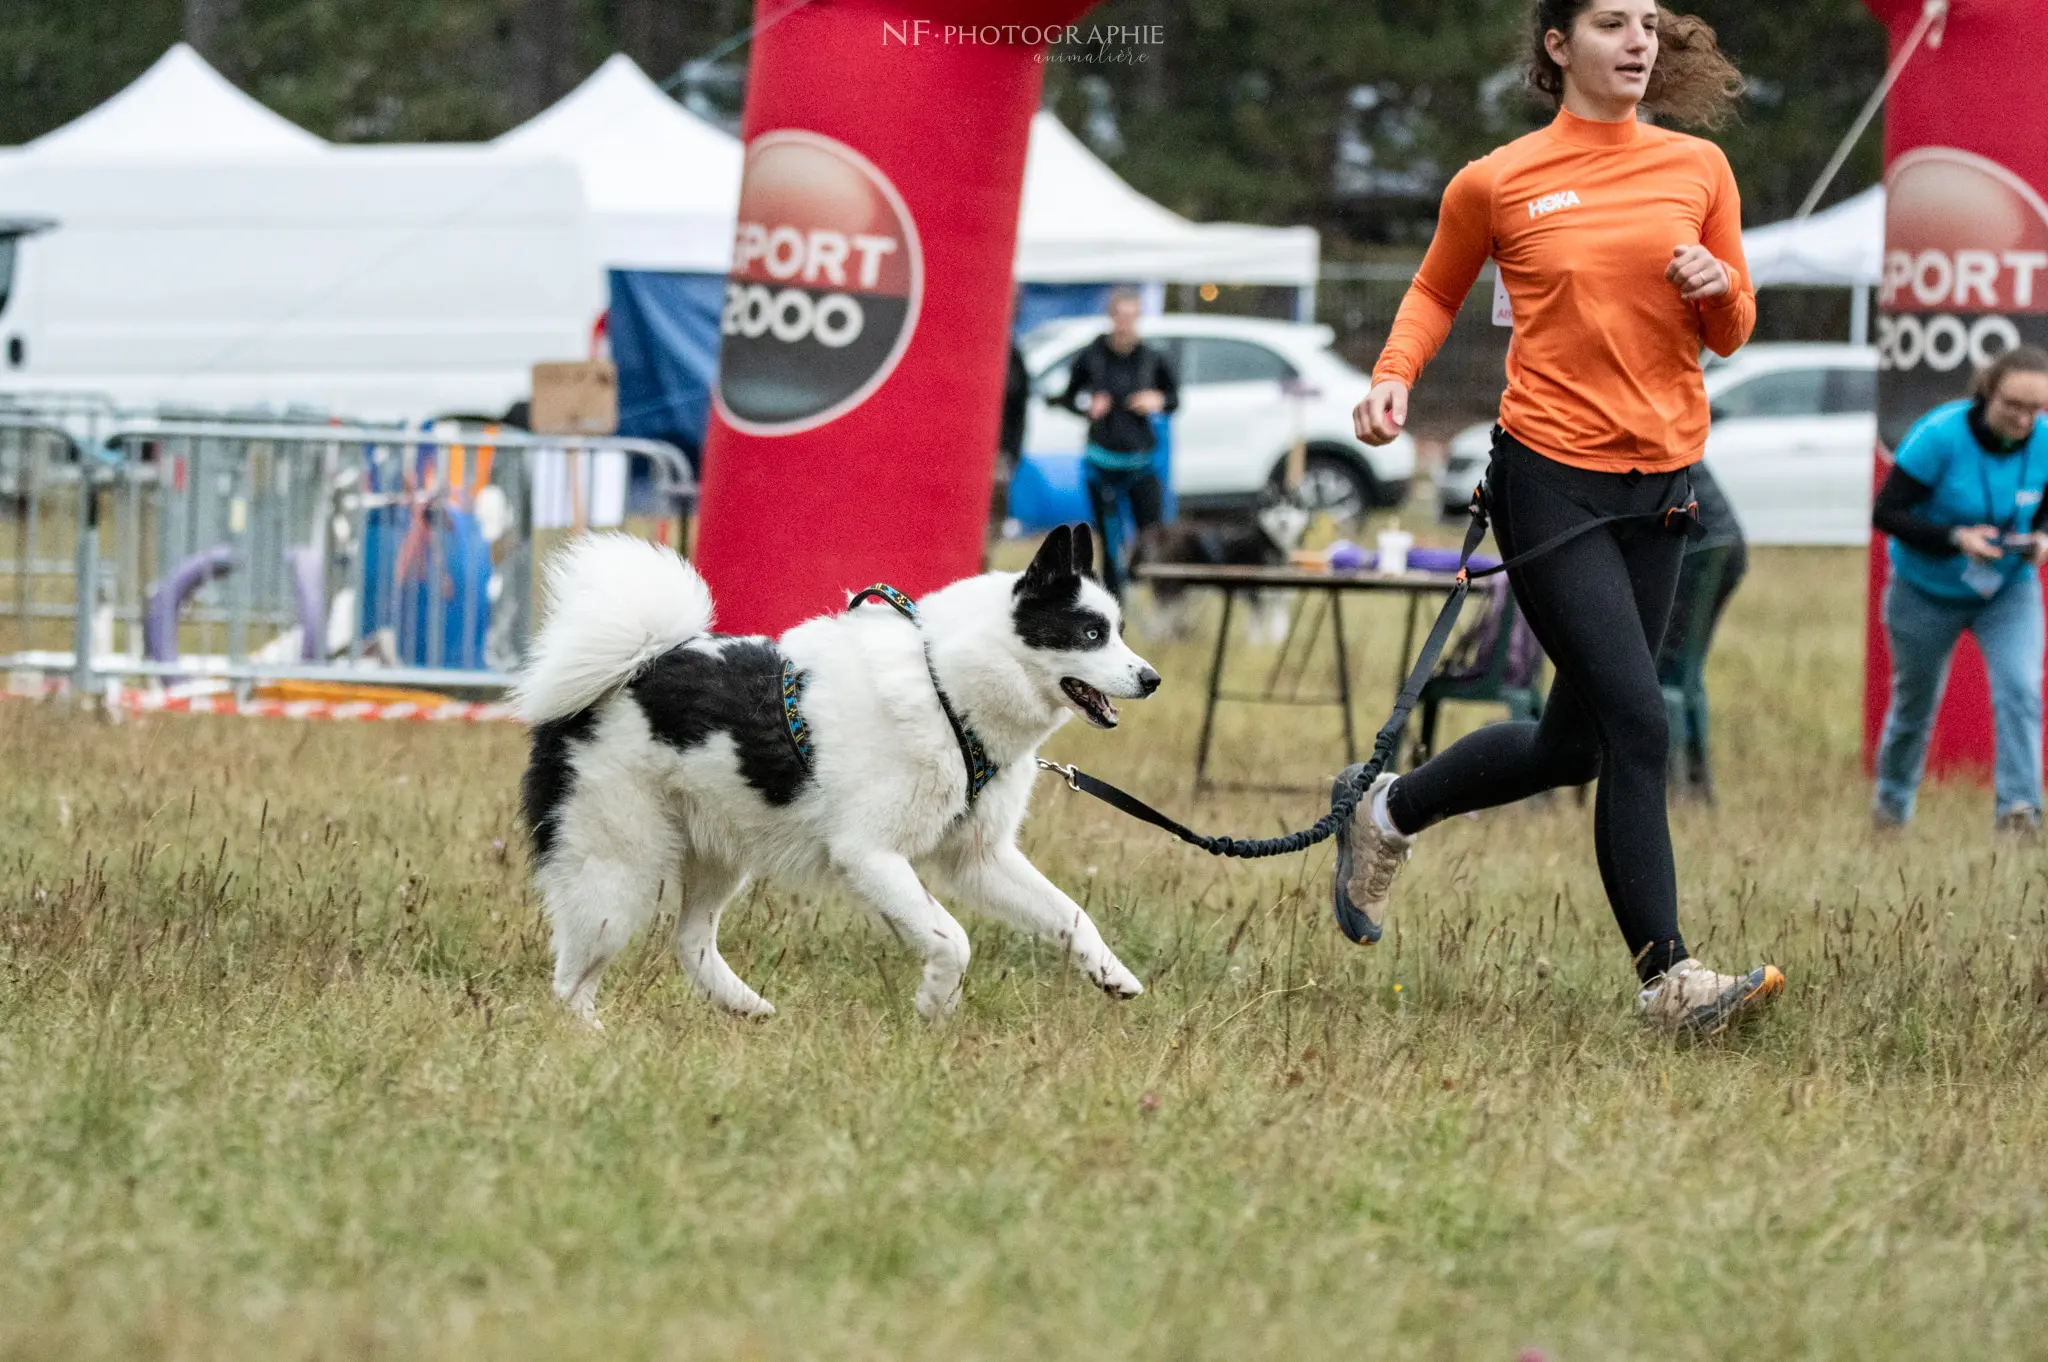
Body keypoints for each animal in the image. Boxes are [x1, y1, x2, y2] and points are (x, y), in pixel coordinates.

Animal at [516, 524, 1155, 1024]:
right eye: (1090, 633)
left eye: (1118, 631)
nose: (1151, 679)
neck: (945, 688)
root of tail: (631, 666)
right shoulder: (868, 854)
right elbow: (953, 940)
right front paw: (936, 1004)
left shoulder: (979, 860)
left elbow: (1070, 914)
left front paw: (1110, 972)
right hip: (615, 873)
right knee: (571, 984)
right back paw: (592, 1043)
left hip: (719, 851)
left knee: (689, 940)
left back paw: (745, 1006)